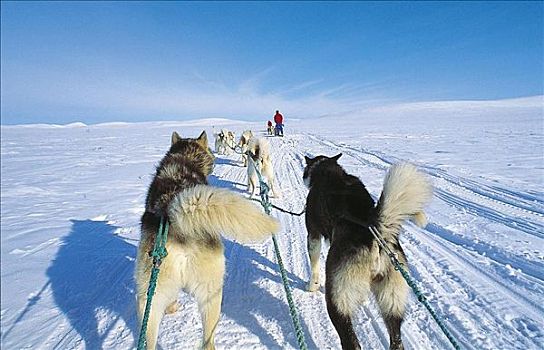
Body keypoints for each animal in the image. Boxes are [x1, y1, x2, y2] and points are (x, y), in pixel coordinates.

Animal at [302, 155, 434, 350]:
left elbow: (314, 264)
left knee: (351, 341)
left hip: (337, 303)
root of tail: (375, 234)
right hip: (392, 303)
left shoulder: (313, 234)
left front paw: (312, 286)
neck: (327, 169)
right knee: (396, 340)